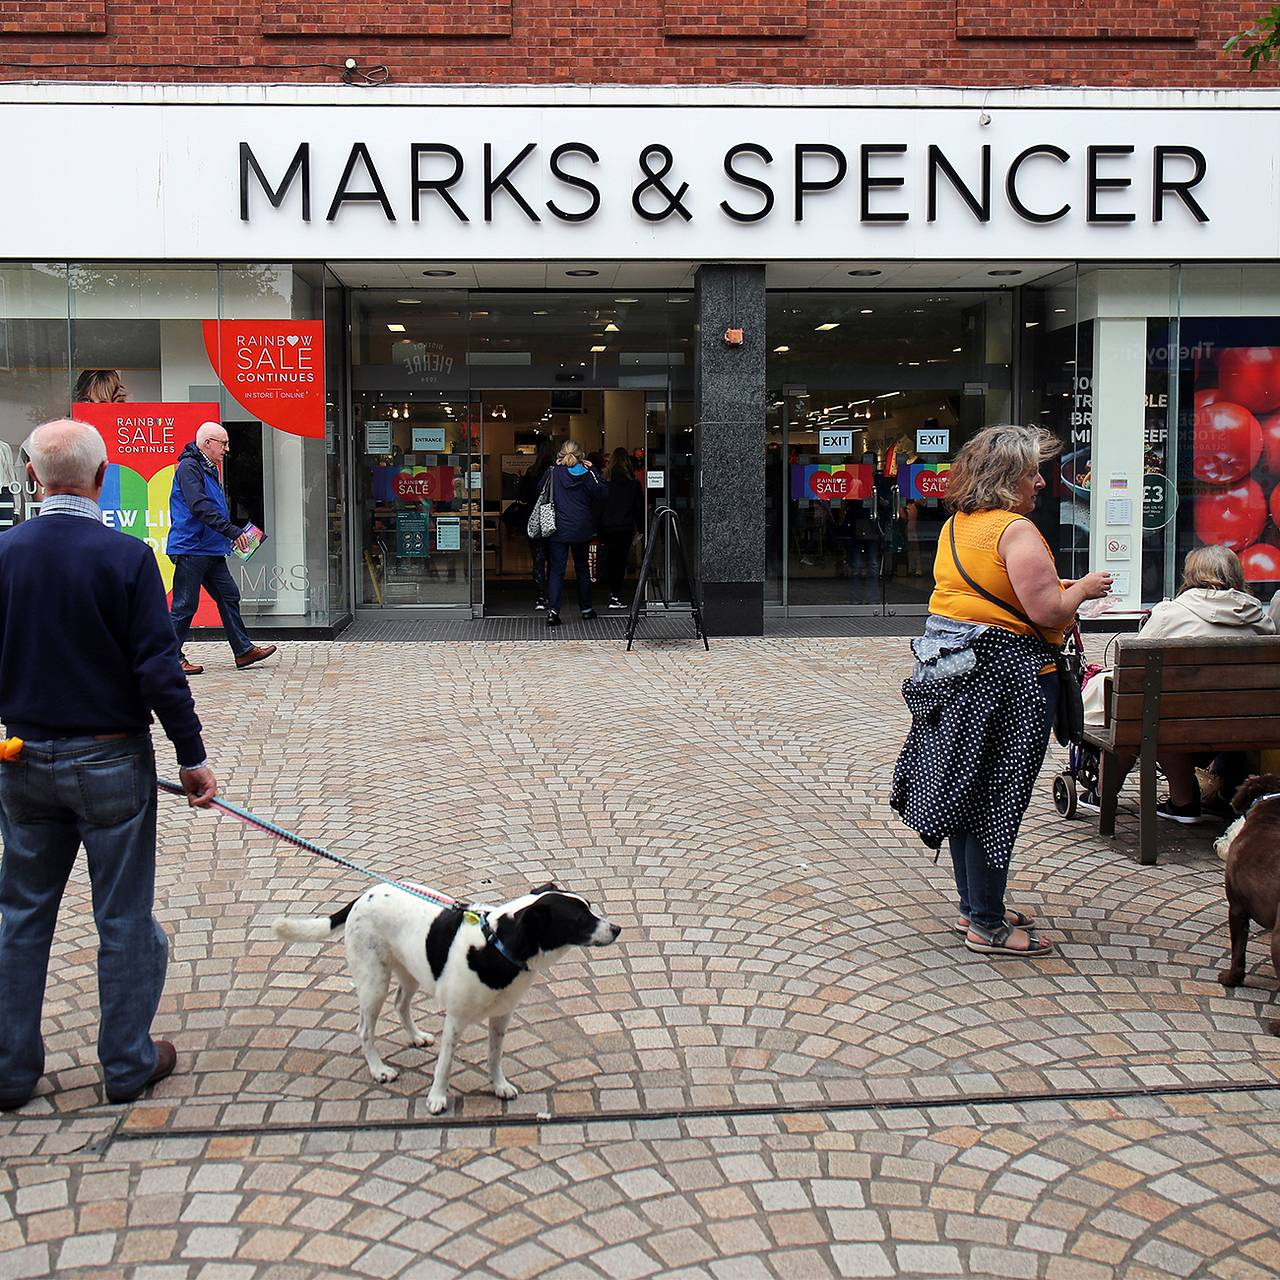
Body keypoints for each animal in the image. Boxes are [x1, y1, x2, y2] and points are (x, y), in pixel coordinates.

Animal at [270, 885, 619, 1116]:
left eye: (590, 907)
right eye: (581, 919)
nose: (616, 928)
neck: (497, 944)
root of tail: (364, 895)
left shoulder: (501, 1016)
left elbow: (495, 1056)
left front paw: (498, 1085)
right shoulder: (455, 1020)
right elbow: (445, 1064)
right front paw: (437, 1097)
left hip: (411, 970)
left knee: (401, 1003)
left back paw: (415, 1036)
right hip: (373, 983)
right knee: (364, 1030)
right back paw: (379, 1069)